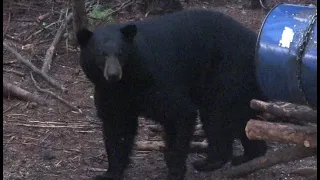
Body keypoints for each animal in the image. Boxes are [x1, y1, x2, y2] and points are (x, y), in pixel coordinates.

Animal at [77, 9, 268, 180]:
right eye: (101, 54)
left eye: (121, 53)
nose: (113, 74)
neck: (128, 82)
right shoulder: (109, 93)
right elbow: (117, 127)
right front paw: (109, 173)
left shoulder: (159, 79)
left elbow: (179, 114)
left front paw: (174, 170)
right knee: (240, 118)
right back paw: (245, 156)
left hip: (227, 73)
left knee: (219, 115)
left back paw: (212, 161)